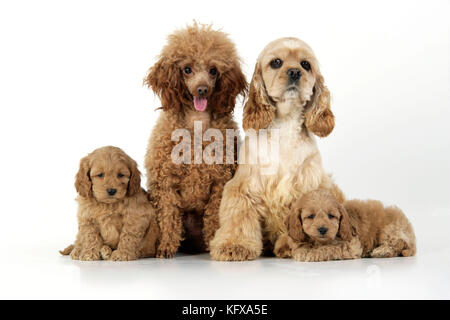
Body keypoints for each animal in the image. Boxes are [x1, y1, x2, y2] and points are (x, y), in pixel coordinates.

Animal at [144, 22, 248, 258]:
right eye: (187, 69)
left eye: (213, 70)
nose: (202, 89)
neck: (197, 124)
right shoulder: (165, 184)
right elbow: (168, 217)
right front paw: (166, 247)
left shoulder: (220, 183)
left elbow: (214, 218)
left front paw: (214, 245)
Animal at [211, 36, 342, 262]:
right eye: (276, 62)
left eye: (305, 64)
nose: (295, 72)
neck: (285, 125)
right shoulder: (243, 187)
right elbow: (239, 218)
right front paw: (235, 245)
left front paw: (290, 246)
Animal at [274, 189, 418, 262]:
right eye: (311, 216)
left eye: (331, 216)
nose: (322, 229)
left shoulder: (351, 244)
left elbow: (328, 248)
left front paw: (310, 253)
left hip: (390, 230)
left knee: (398, 244)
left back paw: (381, 251)